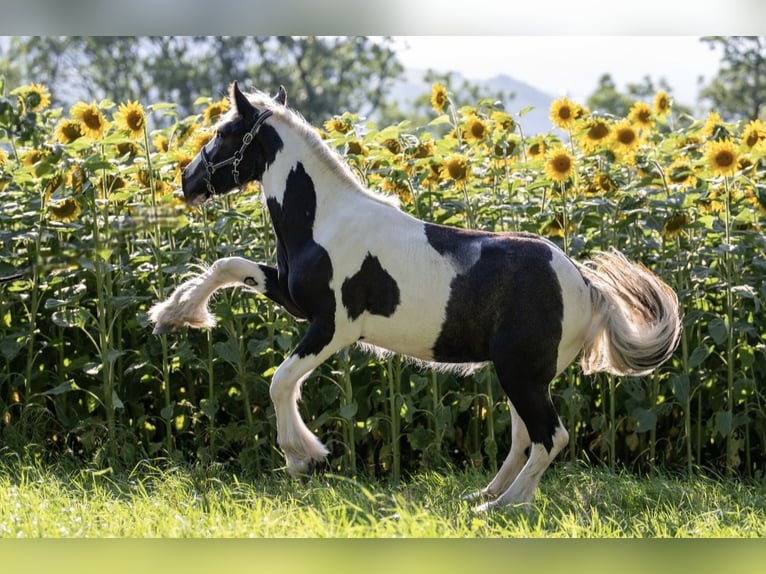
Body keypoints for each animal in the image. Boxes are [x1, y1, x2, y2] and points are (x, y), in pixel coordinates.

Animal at [150, 82, 684, 512]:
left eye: (223, 132)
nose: (186, 183)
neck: (325, 222)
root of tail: (585, 286)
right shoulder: (292, 297)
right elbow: (228, 266)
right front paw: (173, 315)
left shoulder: (332, 327)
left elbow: (281, 382)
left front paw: (305, 457)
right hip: (524, 374)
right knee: (524, 439)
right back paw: (487, 495)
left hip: (521, 374)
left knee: (551, 437)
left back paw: (501, 506)